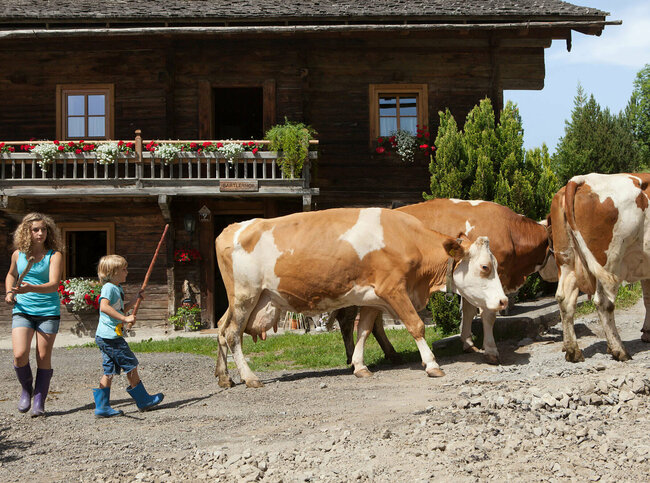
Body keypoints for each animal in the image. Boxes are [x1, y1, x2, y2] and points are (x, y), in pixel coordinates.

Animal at [214, 207, 508, 388]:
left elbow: (364, 330)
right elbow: (416, 325)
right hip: (245, 296)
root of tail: (233, 227)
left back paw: (225, 377)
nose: (504, 301)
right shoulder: (394, 289)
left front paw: (359, 365)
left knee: (220, 328)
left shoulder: (373, 297)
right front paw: (432, 364)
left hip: (246, 299)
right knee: (232, 333)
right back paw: (249, 377)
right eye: (485, 267)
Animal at [335, 199, 555, 365]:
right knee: (347, 320)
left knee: (373, 321)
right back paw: (352, 357)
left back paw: (390, 354)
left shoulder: (470, 281)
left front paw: (468, 343)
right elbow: (487, 315)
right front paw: (491, 351)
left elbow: (468, 311)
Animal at [549, 172, 650, 363]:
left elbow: (647, 299)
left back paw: (573, 351)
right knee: (604, 302)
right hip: (610, 260)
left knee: (564, 299)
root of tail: (583, 179)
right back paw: (619, 350)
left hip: (566, 259)